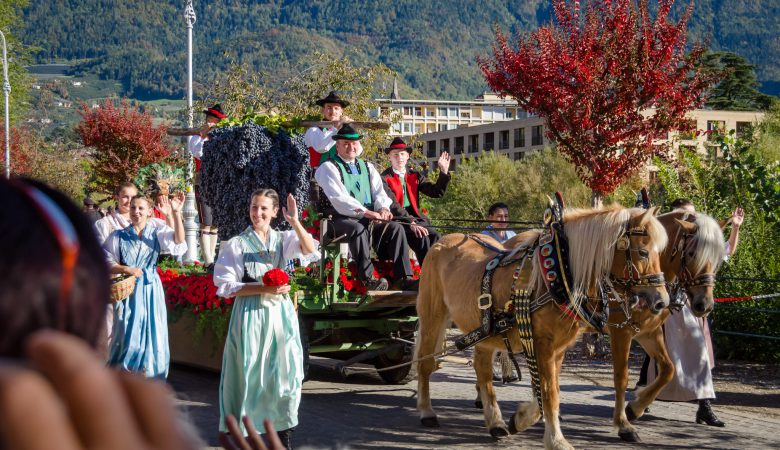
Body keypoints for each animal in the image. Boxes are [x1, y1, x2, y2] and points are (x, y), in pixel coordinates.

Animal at [418, 205, 668, 450]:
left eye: (660, 253)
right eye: (643, 252)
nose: (662, 301)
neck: (561, 272)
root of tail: (444, 241)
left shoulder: (559, 348)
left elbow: (550, 389)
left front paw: (520, 419)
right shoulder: (544, 344)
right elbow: (549, 392)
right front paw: (557, 440)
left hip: (484, 330)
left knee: (482, 369)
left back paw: (496, 422)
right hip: (432, 315)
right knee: (425, 361)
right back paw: (427, 411)